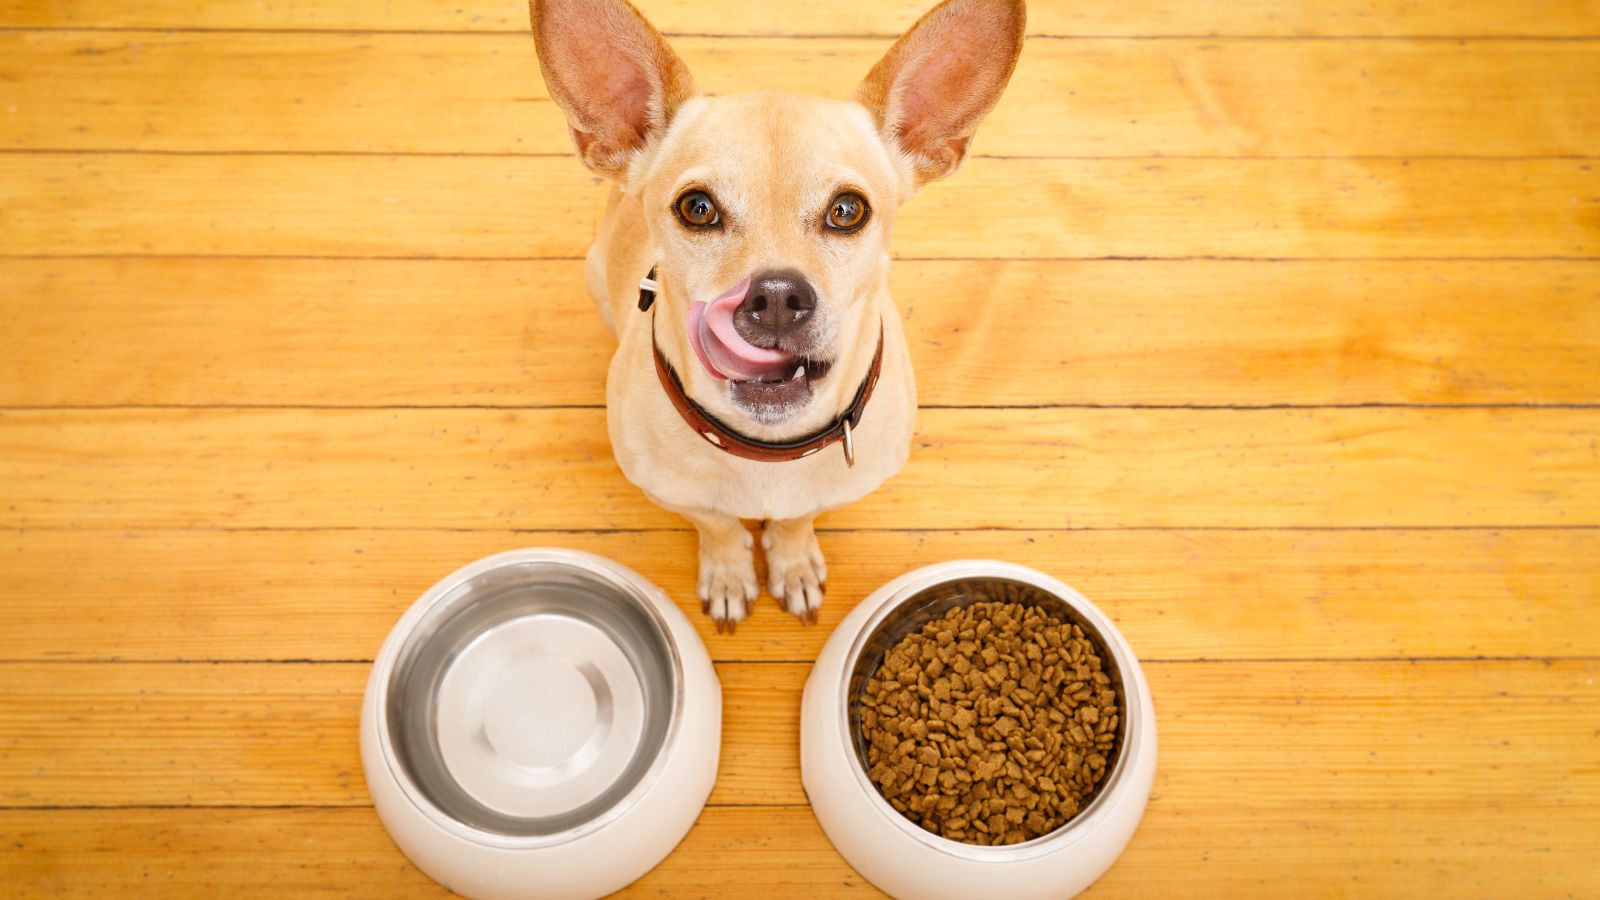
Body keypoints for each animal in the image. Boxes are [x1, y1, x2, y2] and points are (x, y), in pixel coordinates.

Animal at [528, 0, 1024, 630]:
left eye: (847, 211)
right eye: (697, 208)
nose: (777, 298)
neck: (769, 449)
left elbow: (795, 519)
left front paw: (791, 562)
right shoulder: (671, 494)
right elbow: (714, 523)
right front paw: (728, 571)